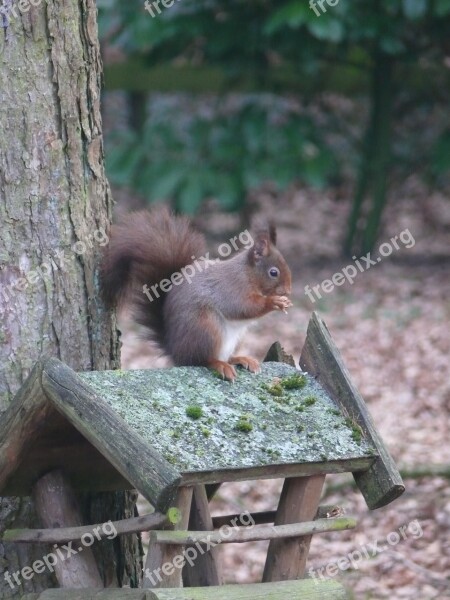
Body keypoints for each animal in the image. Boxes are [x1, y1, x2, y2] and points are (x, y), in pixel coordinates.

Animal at [100, 206, 294, 380]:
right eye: (273, 272)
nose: (288, 290)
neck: (248, 274)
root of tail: (175, 350)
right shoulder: (232, 288)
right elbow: (243, 308)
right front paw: (274, 301)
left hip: (236, 337)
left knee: (223, 356)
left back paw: (241, 359)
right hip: (206, 327)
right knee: (199, 360)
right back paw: (219, 365)